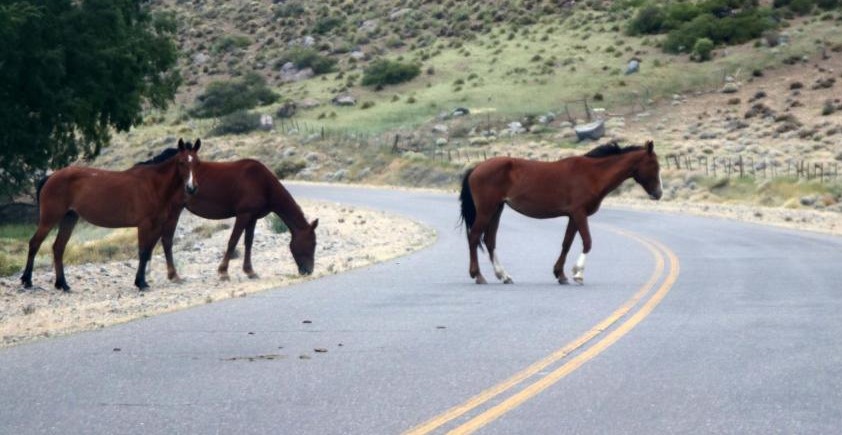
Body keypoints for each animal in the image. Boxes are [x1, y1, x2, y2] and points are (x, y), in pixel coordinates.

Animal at [21, 138, 200, 292]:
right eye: (182, 162)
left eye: (197, 162)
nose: (191, 188)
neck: (153, 184)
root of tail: (51, 176)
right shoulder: (144, 225)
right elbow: (143, 252)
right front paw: (141, 283)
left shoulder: (156, 225)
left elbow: (148, 251)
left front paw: (143, 281)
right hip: (49, 219)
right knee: (35, 243)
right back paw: (27, 281)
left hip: (69, 218)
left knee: (58, 248)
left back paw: (62, 284)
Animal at [456, 140, 660, 288]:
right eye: (654, 165)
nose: (658, 193)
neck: (592, 174)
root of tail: (476, 168)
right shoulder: (579, 213)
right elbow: (587, 242)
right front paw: (578, 273)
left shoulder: (573, 216)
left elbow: (566, 244)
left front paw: (560, 274)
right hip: (486, 210)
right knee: (474, 237)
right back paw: (478, 275)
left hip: (496, 210)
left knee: (489, 241)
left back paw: (503, 275)